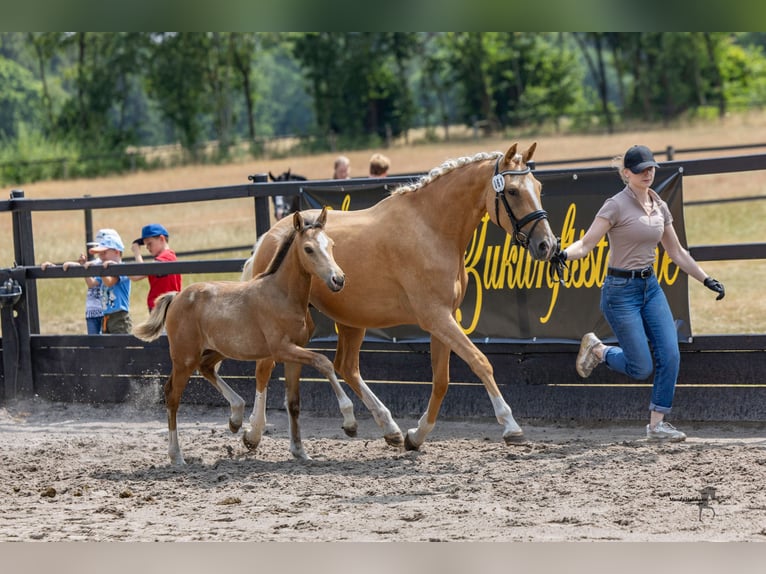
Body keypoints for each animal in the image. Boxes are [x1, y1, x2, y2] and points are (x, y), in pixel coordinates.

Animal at [133, 208, 348, 465]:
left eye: (332, 244)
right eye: (308, 249)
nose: (338, 279)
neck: (282, 294)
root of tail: (176, 297)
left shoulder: (295, 352)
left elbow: (294, 403)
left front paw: (300, 451)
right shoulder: (282, 349)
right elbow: (324, 362)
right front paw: (350, 422)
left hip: (216, 349)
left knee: (206, 369)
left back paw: (236, 417)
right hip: (184, 358)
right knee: (172, 395)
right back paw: (176, 456)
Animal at [241, 142, 557, 451]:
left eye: (539, 187)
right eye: (513, 191)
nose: (547, 245)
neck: (432, 229)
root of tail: (269, 236)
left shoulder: (444, 319)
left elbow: (441, 381)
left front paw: (415, 435)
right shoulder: (436, 317)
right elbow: (480, 362)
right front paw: (511, 427)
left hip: (349, 319)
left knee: (346, 366)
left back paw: (389, 428)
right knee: (265, 367)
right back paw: (252, 433)